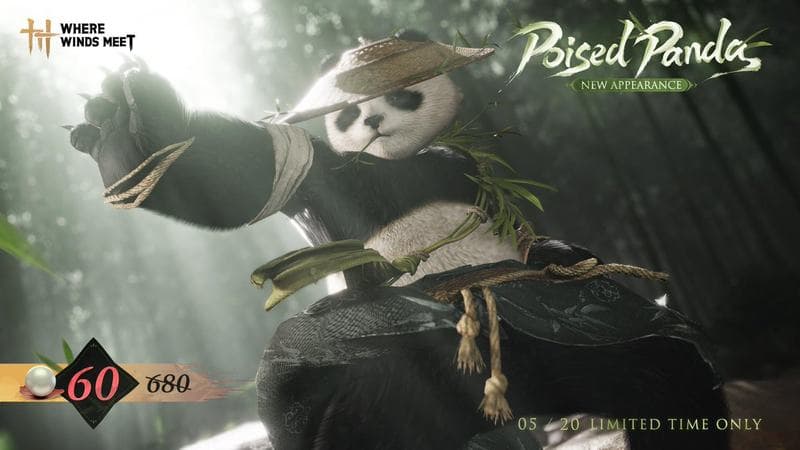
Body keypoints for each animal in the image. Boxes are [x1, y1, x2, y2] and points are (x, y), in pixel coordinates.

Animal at [68, 33, 729, 450]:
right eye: (348, 108)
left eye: (400, 90)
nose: (374, 120)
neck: (397, 162)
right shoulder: (327, 178)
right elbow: (237, 176)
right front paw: (121, 125)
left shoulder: (469, 174)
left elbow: (532, 237)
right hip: (393, 364)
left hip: (567, 337)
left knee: (666, 380)